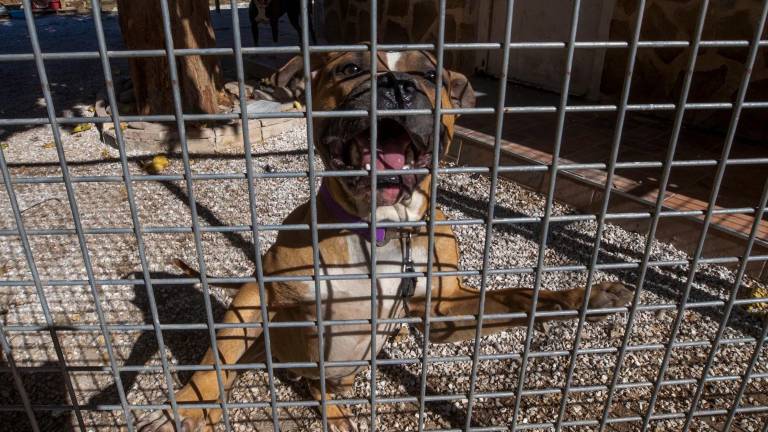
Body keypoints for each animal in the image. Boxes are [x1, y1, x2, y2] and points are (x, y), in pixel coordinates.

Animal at [135, 49, 632, 430]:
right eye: (349, 68)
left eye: (430, 75)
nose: (396, 84)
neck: (384, 228)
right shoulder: (261, 292)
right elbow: (217, 360)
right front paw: (187, 406)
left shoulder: (442, 311)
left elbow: (521, 296)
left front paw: (584, 297)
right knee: (242, 361)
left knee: (319, 385)